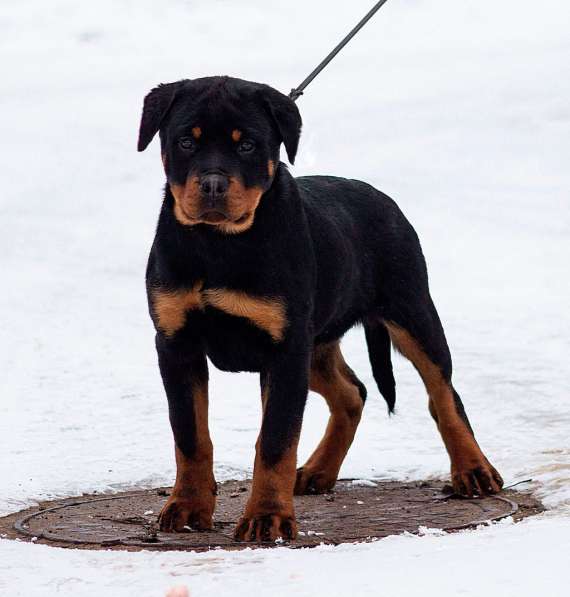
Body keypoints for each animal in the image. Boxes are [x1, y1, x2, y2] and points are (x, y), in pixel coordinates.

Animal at [138, 74, 502, 540]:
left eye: (247, 145)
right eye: (186, 141)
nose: (214, 185)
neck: (218, 245)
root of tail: (381, 197)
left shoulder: (284, 350)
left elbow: (275, 440)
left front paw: (267, 518)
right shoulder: (176, 344)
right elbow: (190, 435)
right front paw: (187, 508)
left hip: (410, 312)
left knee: (443, 394)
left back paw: (473, 470)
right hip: (316, 344)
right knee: (353, 393)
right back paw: (317, 471)